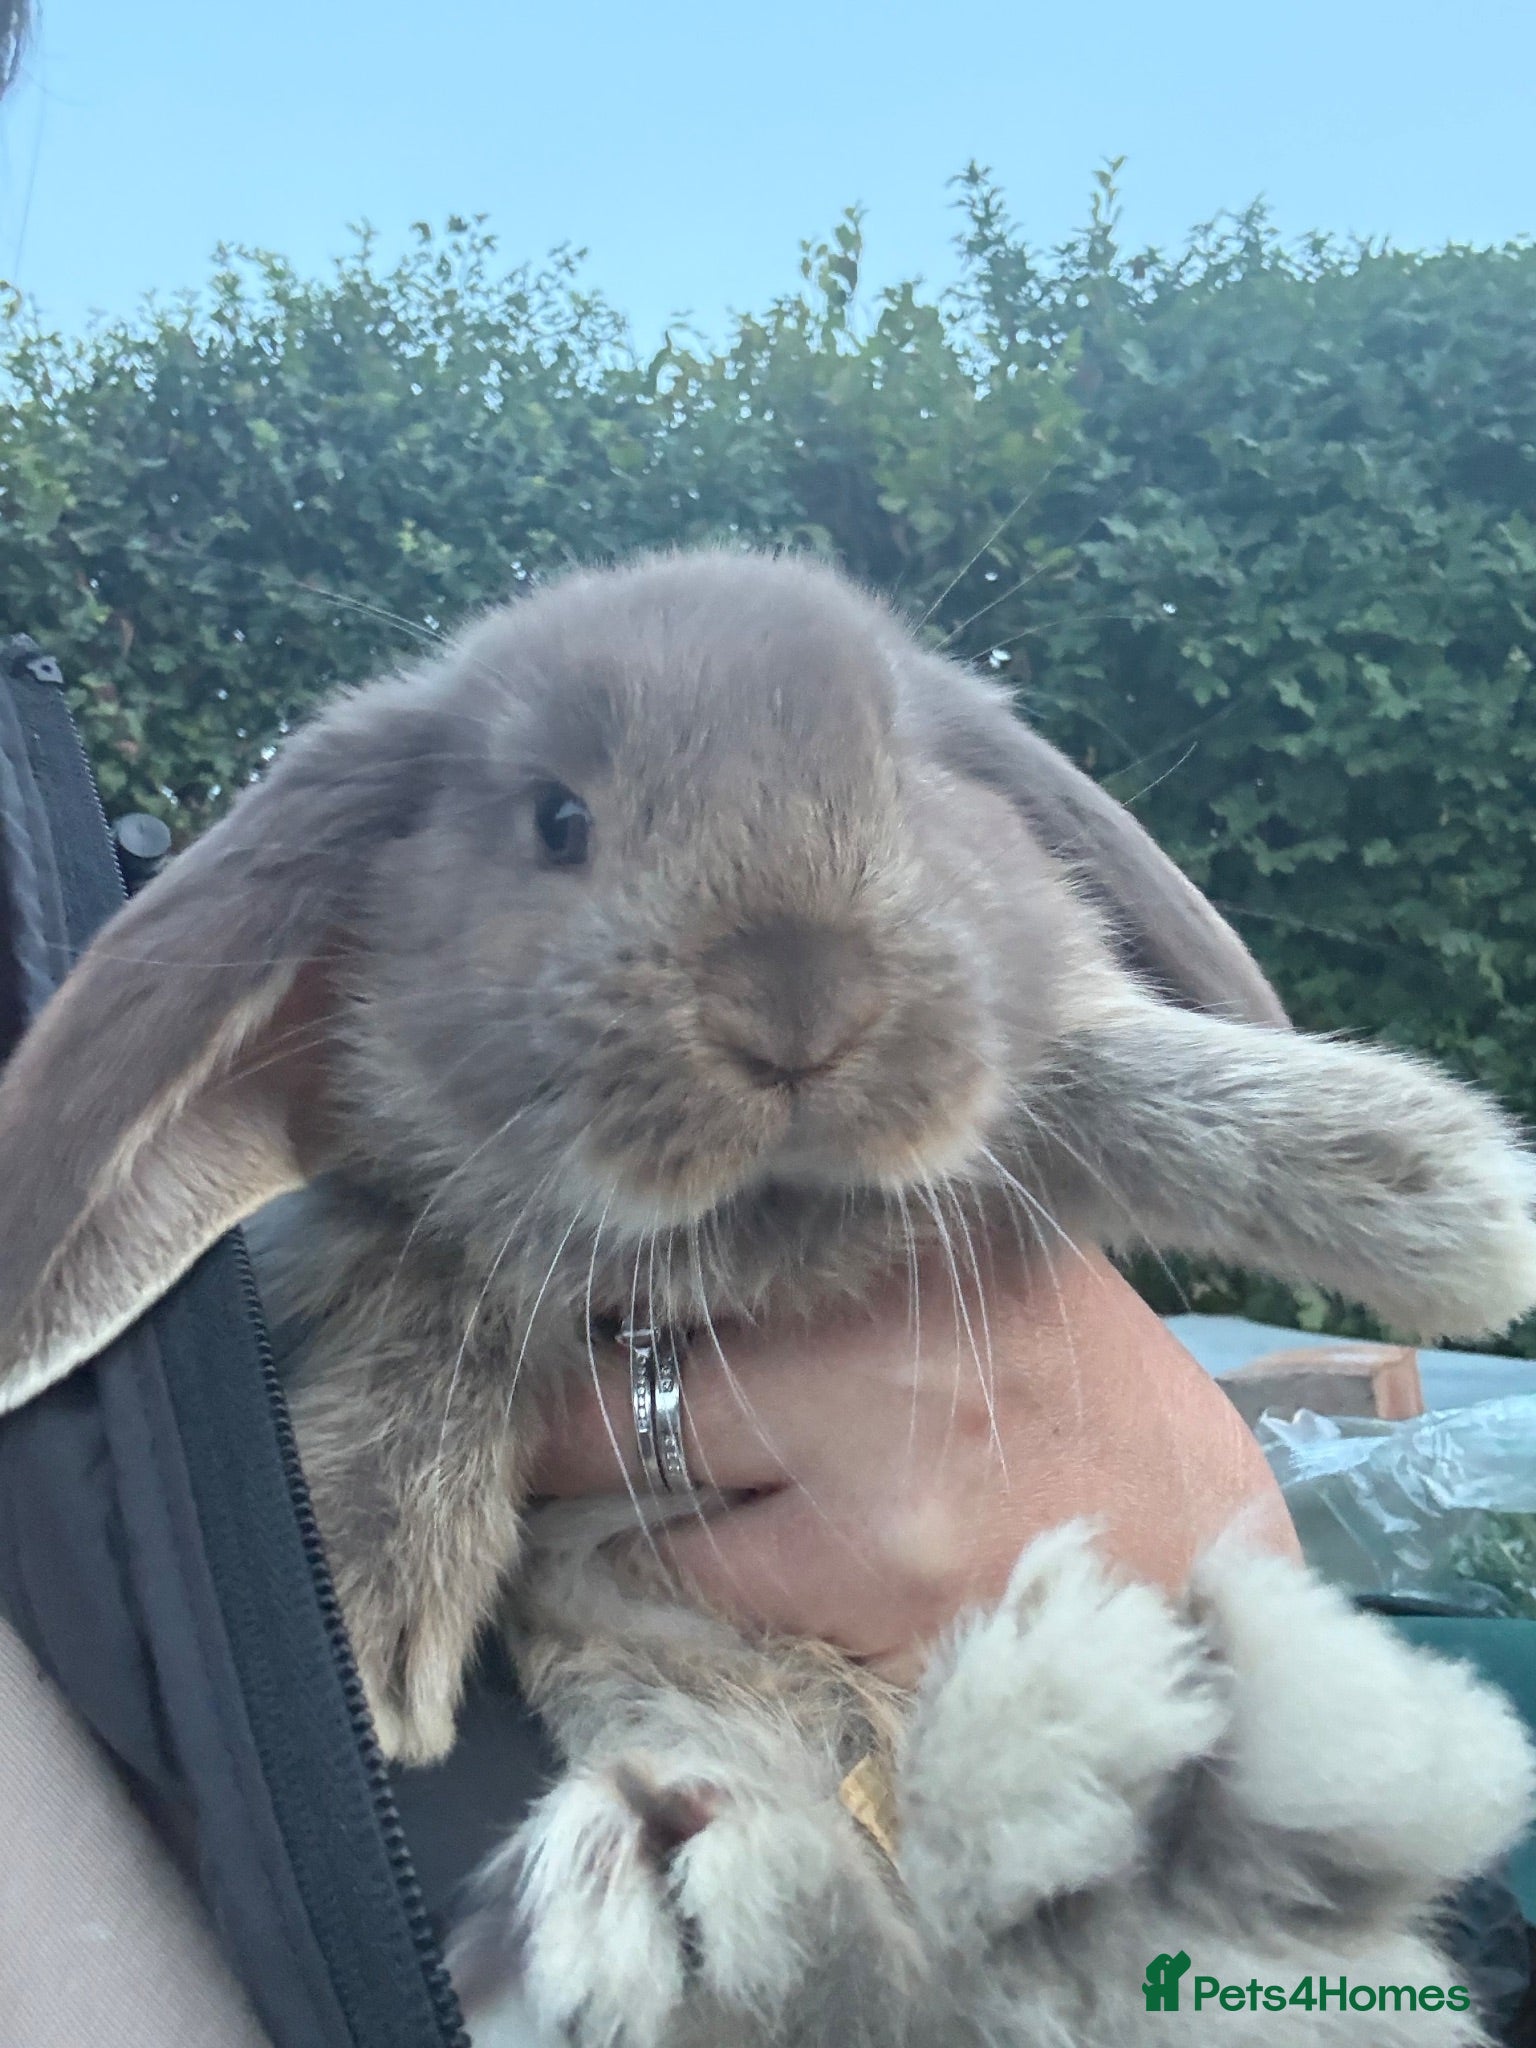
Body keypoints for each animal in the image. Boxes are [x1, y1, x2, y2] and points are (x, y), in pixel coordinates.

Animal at [1, 546, 1535, 2046]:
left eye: (909, 780)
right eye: (558, 819)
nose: (797, 996)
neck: (761, 1232)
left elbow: (1109, 1080)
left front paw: (1447, 1202)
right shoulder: (396, 1229)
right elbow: (435, 1286)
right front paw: (376, 1606)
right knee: (864, 1947)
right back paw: (695, 1860)